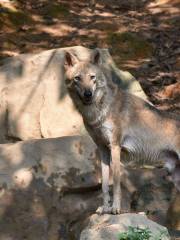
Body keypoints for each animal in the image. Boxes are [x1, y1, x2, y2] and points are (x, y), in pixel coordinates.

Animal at [63, 49, 180, 215]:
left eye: (92, 77)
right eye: (77, 78)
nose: (88, 94)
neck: (99, 111)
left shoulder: (115, 147)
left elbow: (117, 183)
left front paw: (115, 208)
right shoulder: (103, 150)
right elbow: (105, 185)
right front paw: (105, 208)